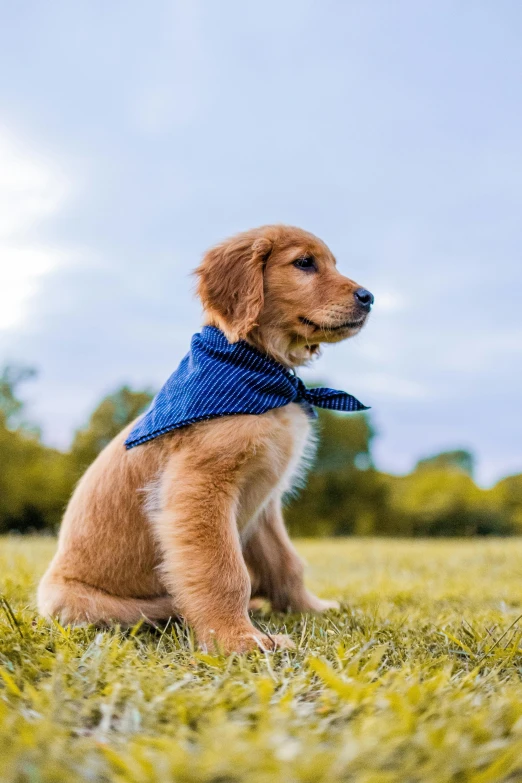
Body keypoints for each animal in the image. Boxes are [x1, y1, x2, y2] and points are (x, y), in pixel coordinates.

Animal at [38, 224, 372, 652]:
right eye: (304, 263)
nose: (369, 298)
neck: (259, 371)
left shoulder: (264, 501)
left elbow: (286, 561)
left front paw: (309, 608)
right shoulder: (199, 488)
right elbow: (225, 571)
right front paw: (239, 639)